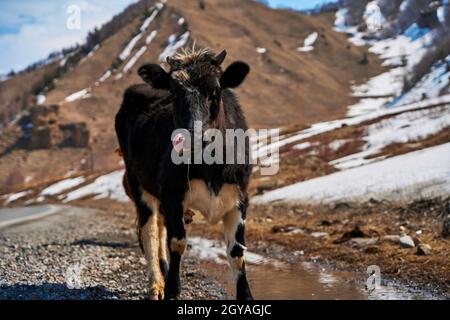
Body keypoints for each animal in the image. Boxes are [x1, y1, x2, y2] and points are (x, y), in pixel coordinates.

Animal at [116, 47, 253, 300]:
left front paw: (246, 296)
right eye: (173, 93)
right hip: (136, 181)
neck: (211, 167)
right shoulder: (172, 194)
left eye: (215, 90)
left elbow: (237, 252)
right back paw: (157, 285)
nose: (193, 137)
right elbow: (177, 242)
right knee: (150, 231)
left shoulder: (240, 198)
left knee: (159, 228)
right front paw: (172, 290)